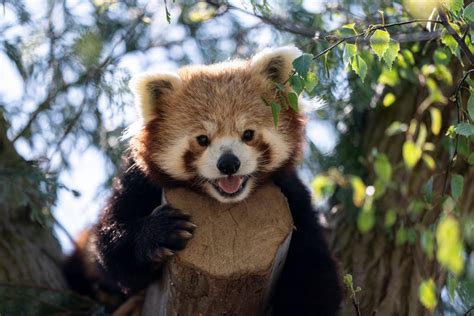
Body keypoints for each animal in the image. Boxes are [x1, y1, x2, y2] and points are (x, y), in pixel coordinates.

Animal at [65, 45, 342, 314]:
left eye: (248, 134)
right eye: (202, 139)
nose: (228, 163)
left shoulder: (292, 197)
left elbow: (313, 272)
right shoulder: (137, 181)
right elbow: (110, 250)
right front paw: (159, 231)